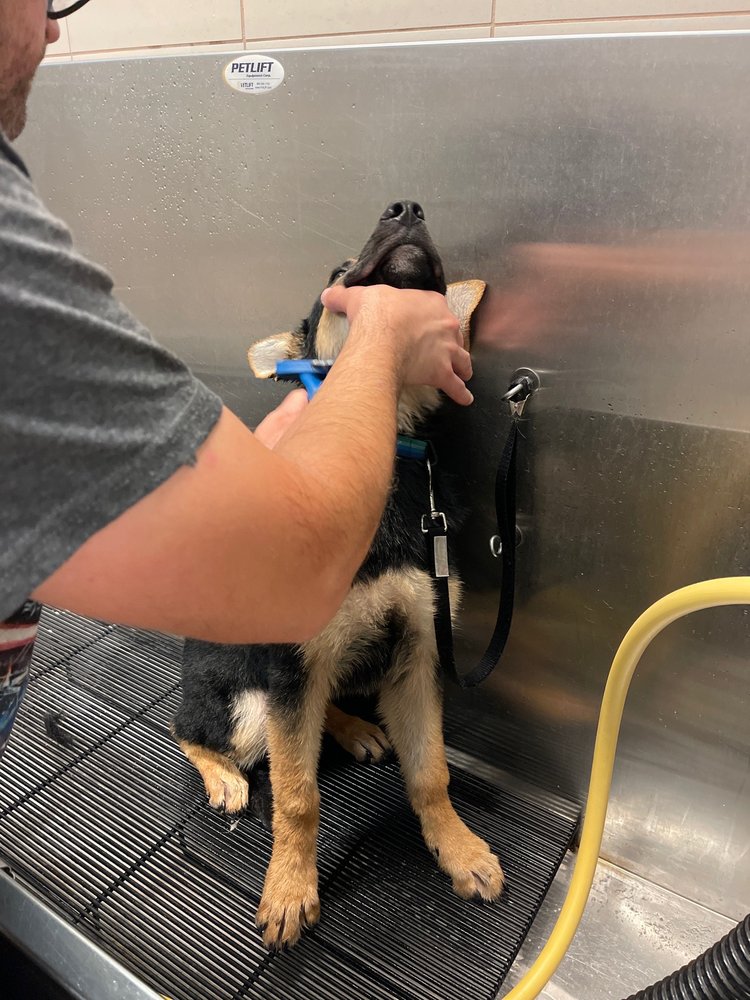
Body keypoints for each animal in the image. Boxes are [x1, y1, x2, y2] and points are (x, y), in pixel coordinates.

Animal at [172, 200, 503, 951]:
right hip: (248, 704)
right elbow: (298, 799)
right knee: (194, 731)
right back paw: (224, 778)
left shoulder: (418, 651)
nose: (406, 208)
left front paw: (457, 848)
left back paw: (353, 727)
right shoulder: (291, 665)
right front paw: (291, 888)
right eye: (337, 274)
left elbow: (432, 773)